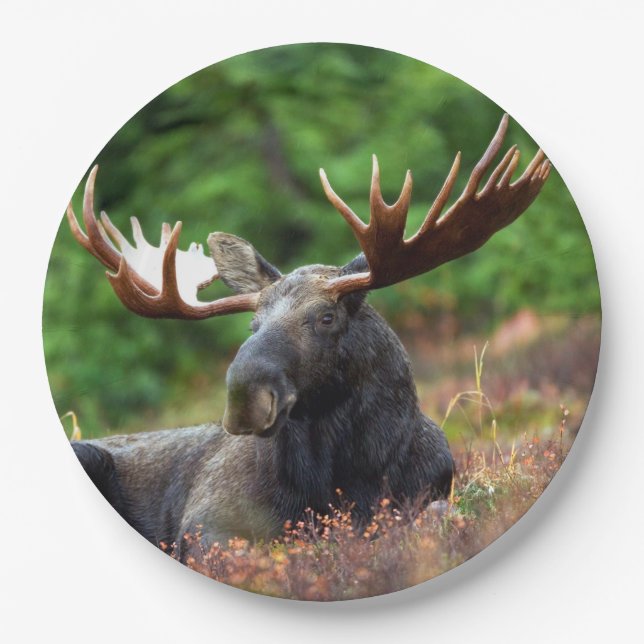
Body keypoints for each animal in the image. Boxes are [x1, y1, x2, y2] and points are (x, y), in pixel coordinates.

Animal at [66, 114, 550, 561]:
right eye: (253, 324)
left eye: (327, 317)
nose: (244, 397)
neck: (345, 477)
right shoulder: (205, 520)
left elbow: (438, 516)